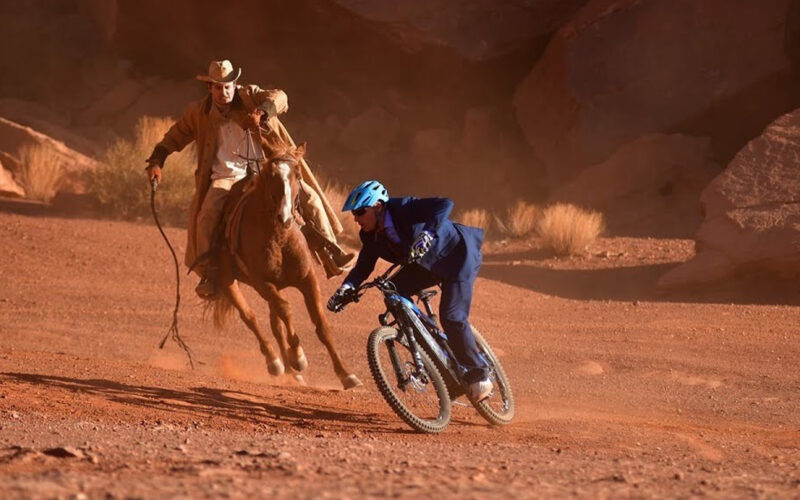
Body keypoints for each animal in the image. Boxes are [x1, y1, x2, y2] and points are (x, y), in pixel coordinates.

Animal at [208, 120, 360, 390]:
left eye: (298, 175)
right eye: (271, 176)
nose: (286, 216)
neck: (279, 239)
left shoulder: (307, 279)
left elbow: (321, 325)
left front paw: (346, 375)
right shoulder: (262, 282)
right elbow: (286, 310)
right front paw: (298, 357)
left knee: (274, 324)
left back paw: (292, 372)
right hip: (228, 281)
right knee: (251, 318)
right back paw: (277, 363)